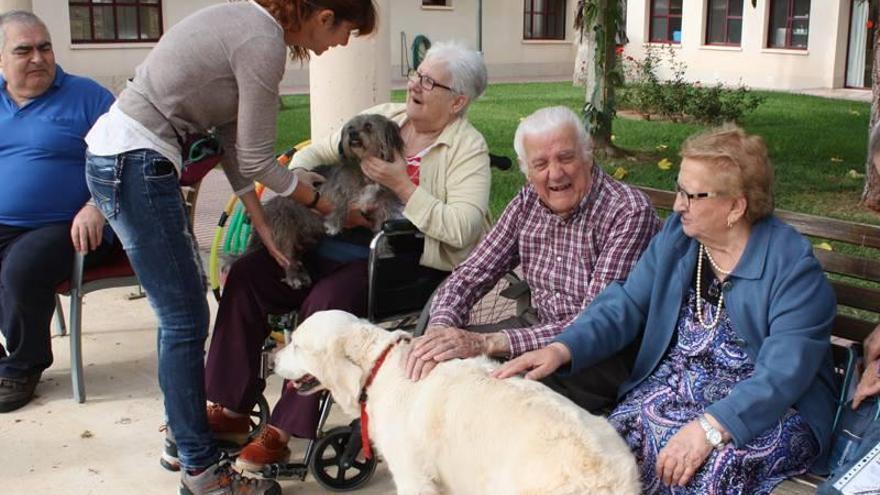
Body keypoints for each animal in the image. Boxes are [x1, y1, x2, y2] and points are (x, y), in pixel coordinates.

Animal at [248, 114, 406, 288]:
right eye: (350, 127)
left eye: (368, 126)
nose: (352, 134)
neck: (365, 173)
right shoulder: (328, 191)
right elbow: (342, 201)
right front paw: (334, 224)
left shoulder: (381, 210)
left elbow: (380, 232)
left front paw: (383, 251)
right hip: (284, 234)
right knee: (288, 259)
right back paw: (294, 277)